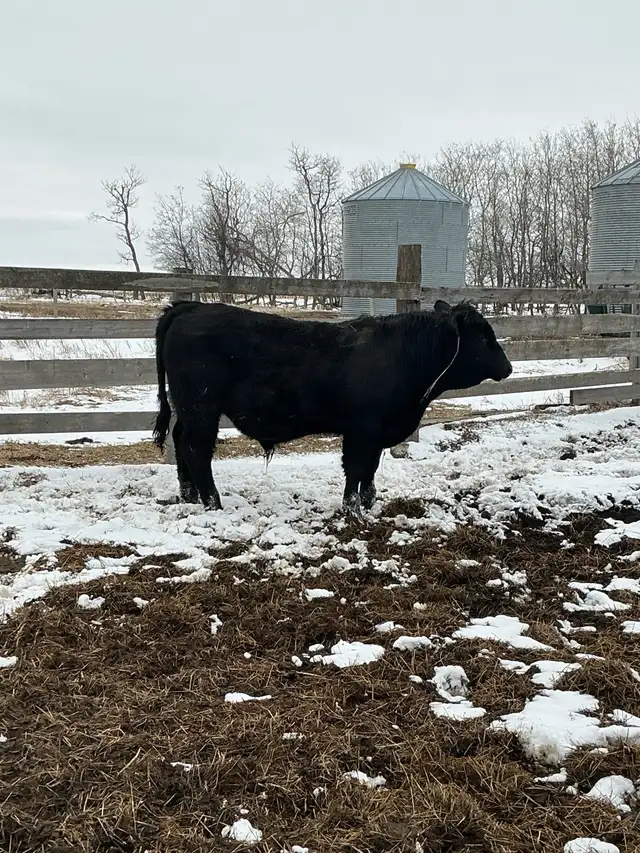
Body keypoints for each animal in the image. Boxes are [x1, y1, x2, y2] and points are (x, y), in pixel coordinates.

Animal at [153, 299, 512, 518]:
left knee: (181, 442)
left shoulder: (375, 432)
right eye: (483, 338)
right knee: (196, 450)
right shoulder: (362, 429)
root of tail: (190, 307)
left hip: (190, 409)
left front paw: (369, 503)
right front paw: (353, 508)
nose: (508, 367)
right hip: (202, 408)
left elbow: (370, 469)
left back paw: (188, 495)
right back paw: (213, 502)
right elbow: (355, 468)